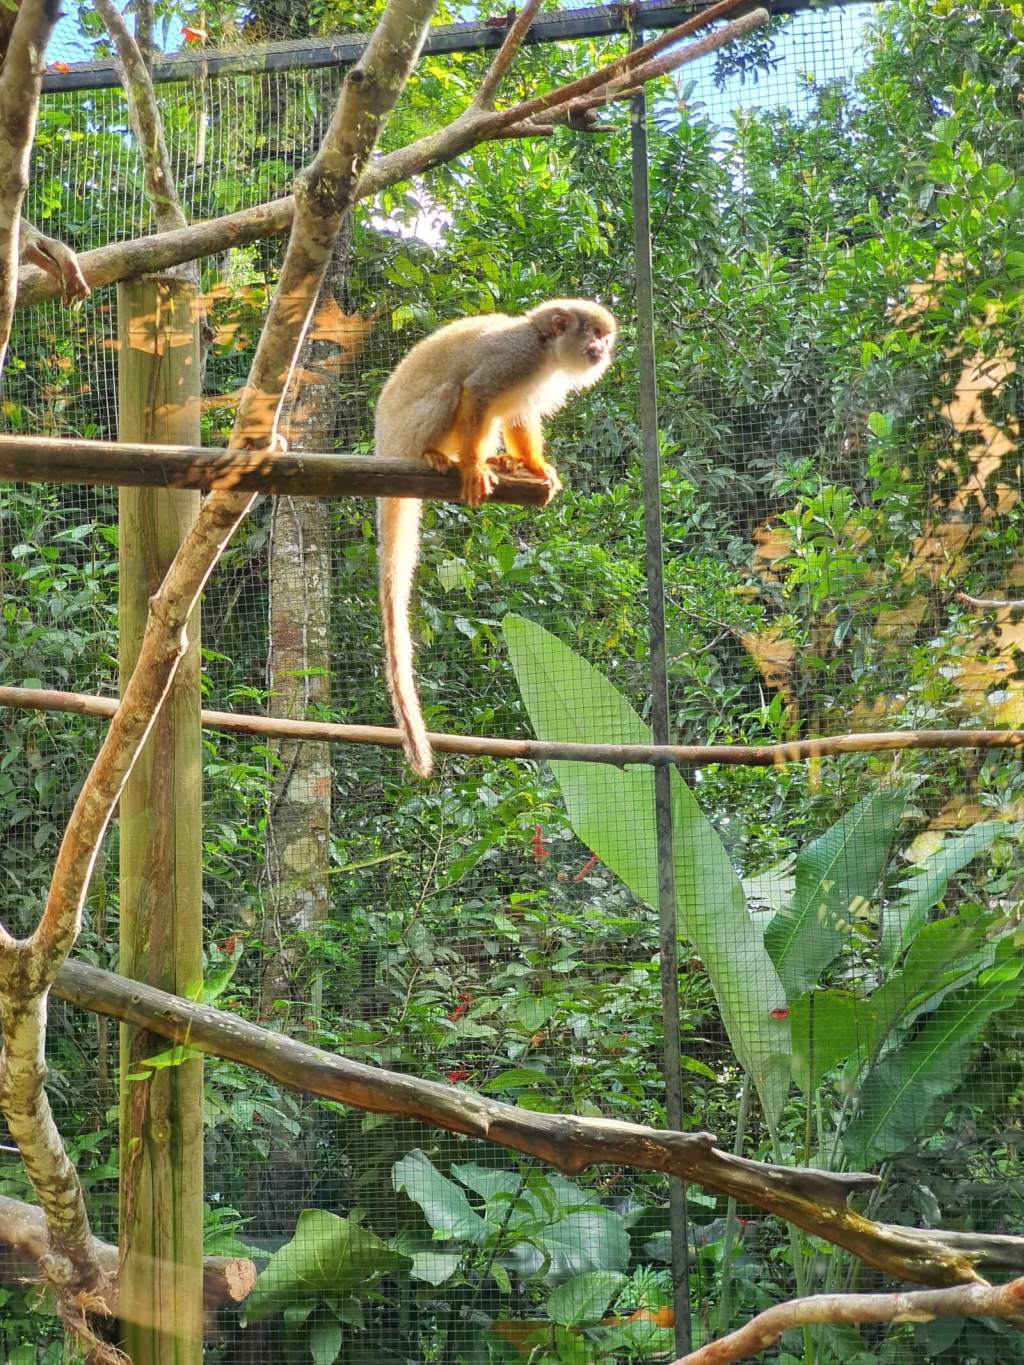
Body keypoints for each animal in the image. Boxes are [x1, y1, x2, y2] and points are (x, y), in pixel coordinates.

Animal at [374, 298, 617, 780]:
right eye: (593, 334)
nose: (602, 350)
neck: (546, 352)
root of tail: (385, 446)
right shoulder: (516, 356)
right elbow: (478, 392)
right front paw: (472, 466)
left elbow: (518, 415)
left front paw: (536, 466)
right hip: (408, 433)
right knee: (453, 391)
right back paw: (441, 457)